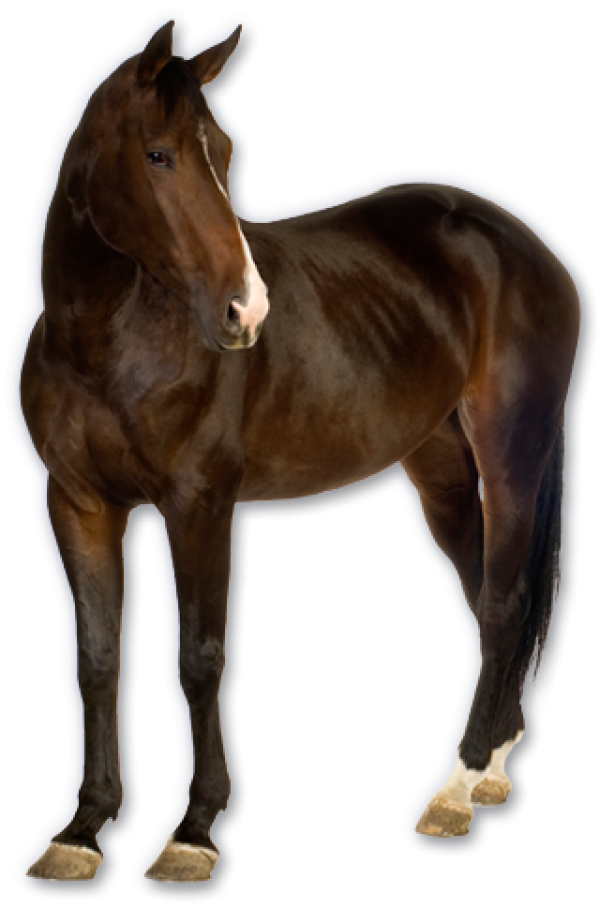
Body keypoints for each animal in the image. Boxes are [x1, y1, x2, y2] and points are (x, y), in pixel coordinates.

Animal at [20, 19, 581, 883]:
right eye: (158, 154)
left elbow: (200, 659)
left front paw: (192, 833)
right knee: (489, 593)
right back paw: (488, 769)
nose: (246, 311)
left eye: (222, 151)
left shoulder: (200, 503)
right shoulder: (77, 503)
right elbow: (96, 660)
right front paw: (81, 832)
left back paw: (454, 791)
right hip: (441, 466)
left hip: (510, 450)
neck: (109, 342)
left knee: (507, 598)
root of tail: (524, 243)